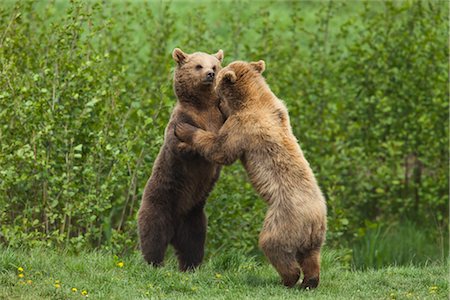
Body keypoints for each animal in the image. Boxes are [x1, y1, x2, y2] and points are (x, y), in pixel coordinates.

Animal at [135, 47, 223, 272]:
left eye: (214, 65)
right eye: (198, 65)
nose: (210, 74)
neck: (203, 106)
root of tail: (175, 230)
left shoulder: (219, 117)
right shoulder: (181, 119)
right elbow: (178, 145)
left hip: (194, 216)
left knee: (193, 243)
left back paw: (191, 267)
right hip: (160, 203)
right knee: (153, 237)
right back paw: (154, 264)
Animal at [175, 59, 326, 288]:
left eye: (217, 73)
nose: (212, 75)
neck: (252, 100)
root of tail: (314, 219)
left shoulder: (243, 126)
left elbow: (221, 149)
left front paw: (184, 130)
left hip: (283, 220)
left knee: (273, 245)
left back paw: (288, 278)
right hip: (315, 235)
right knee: (311, 256)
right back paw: (310, 281)